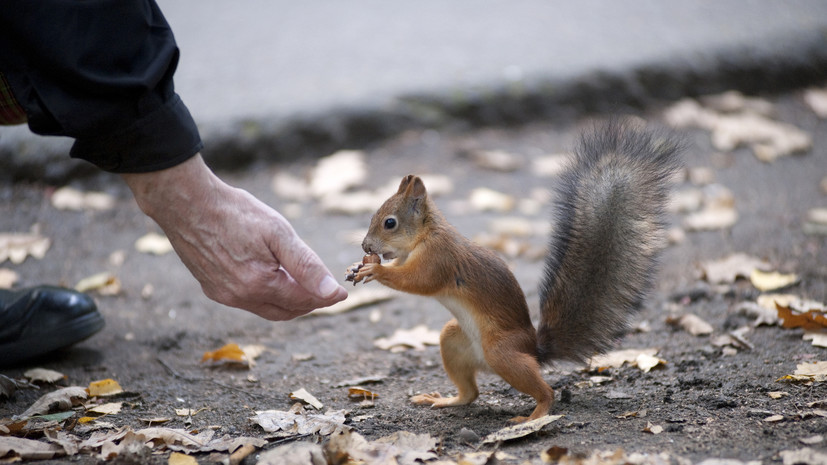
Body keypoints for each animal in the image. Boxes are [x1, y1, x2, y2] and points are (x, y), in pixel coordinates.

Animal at [348, 121, 680, 422]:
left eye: (389, 223)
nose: (366, 246)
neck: (425, 234)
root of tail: (533, 349)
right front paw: (359, 266)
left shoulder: (438, 258)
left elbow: (417, 281)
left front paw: (375, 270)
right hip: (454, 341)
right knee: (470, 393)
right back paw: (445, 400)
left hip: (502, 352)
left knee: (544, 391)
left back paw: (535, 415)